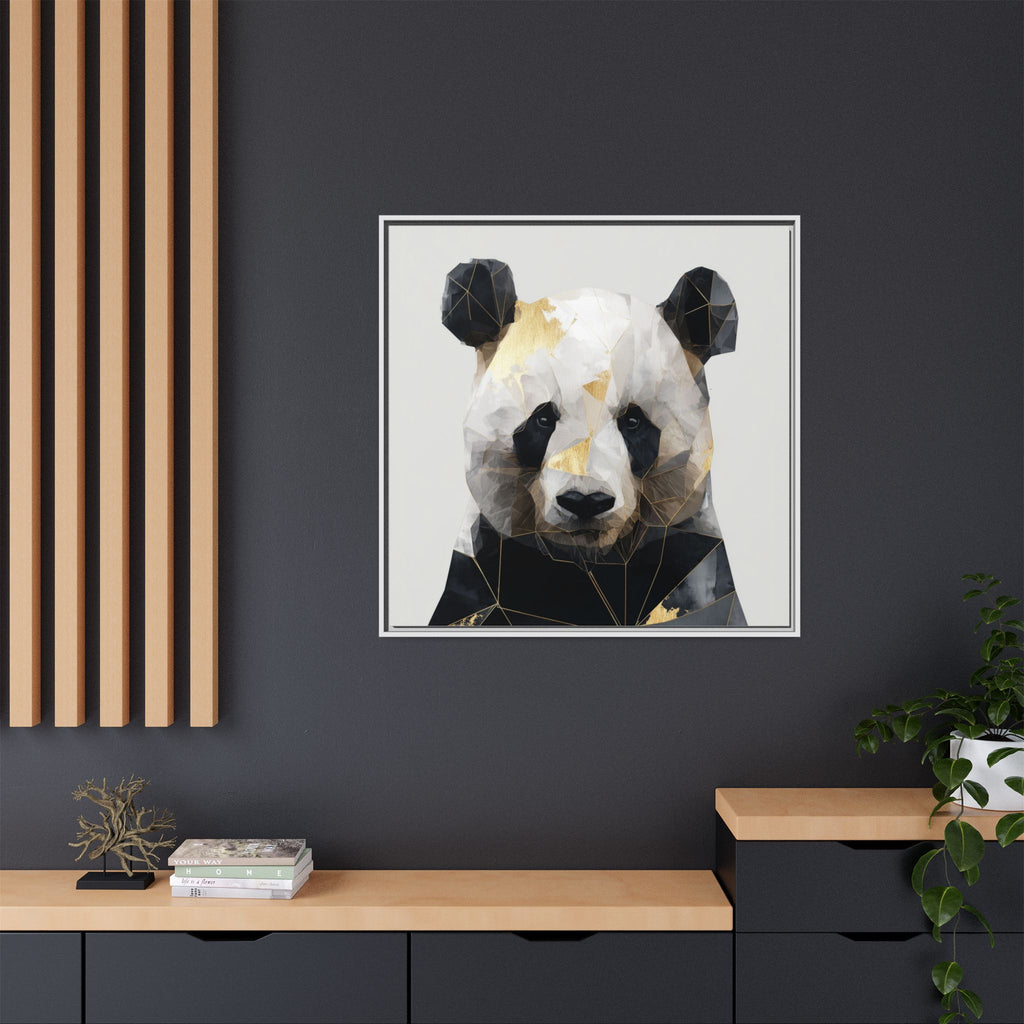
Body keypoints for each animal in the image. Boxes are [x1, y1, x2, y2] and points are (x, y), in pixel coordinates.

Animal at [430, 258, 745, 628]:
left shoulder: (688, 565)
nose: (585, 501)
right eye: (542, 419)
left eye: (633, 421)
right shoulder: (485, 574)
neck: (592, 562)